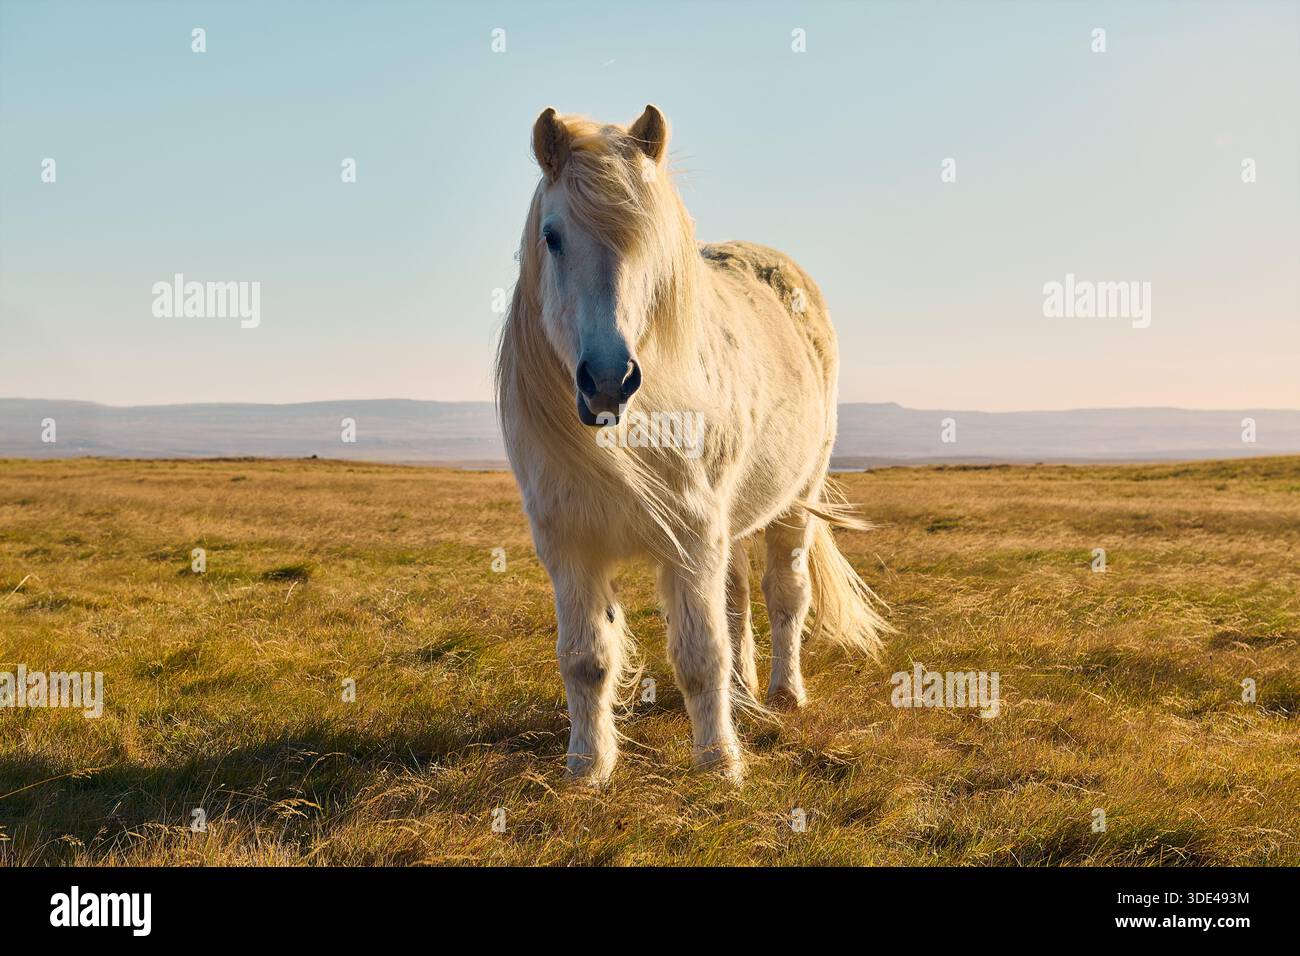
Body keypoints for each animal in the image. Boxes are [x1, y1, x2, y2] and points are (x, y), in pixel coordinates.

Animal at [495, 104, 889, 784]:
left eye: (653, 244)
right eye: (552, 236)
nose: (608, 379)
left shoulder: (692, 533)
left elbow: (701, 652)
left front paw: (719, 763)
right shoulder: (568, 543)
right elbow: (586, 658)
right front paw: (587, 769)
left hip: (795, 501)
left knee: (784, 595)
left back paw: (784, 693)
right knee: (736, 600)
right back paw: (746, 691)